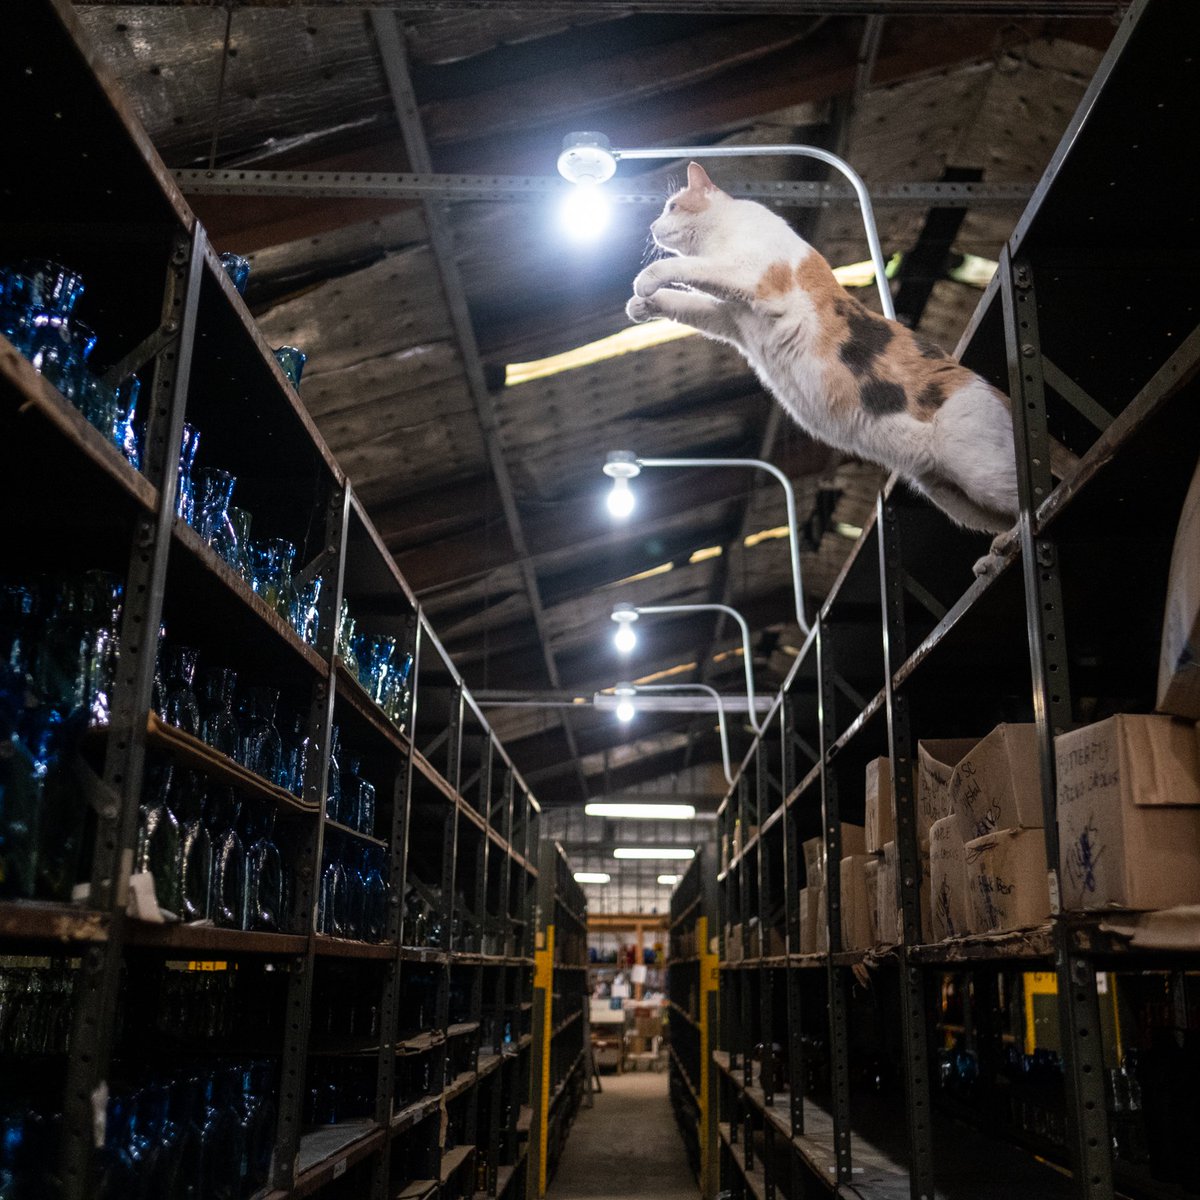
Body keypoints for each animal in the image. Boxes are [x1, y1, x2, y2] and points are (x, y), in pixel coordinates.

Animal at [633, 162, 1075, 568]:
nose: (652, 225)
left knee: (1034, 497)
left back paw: (1020, 532)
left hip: (982, 472)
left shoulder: (752, 277)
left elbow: (681, 269)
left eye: (672, 205)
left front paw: (643, 282)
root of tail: (1001, 395)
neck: (723, 232)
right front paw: (642, 305)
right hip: (951, 493)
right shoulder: (727, 319)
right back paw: (995, 553)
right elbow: (686, 302)